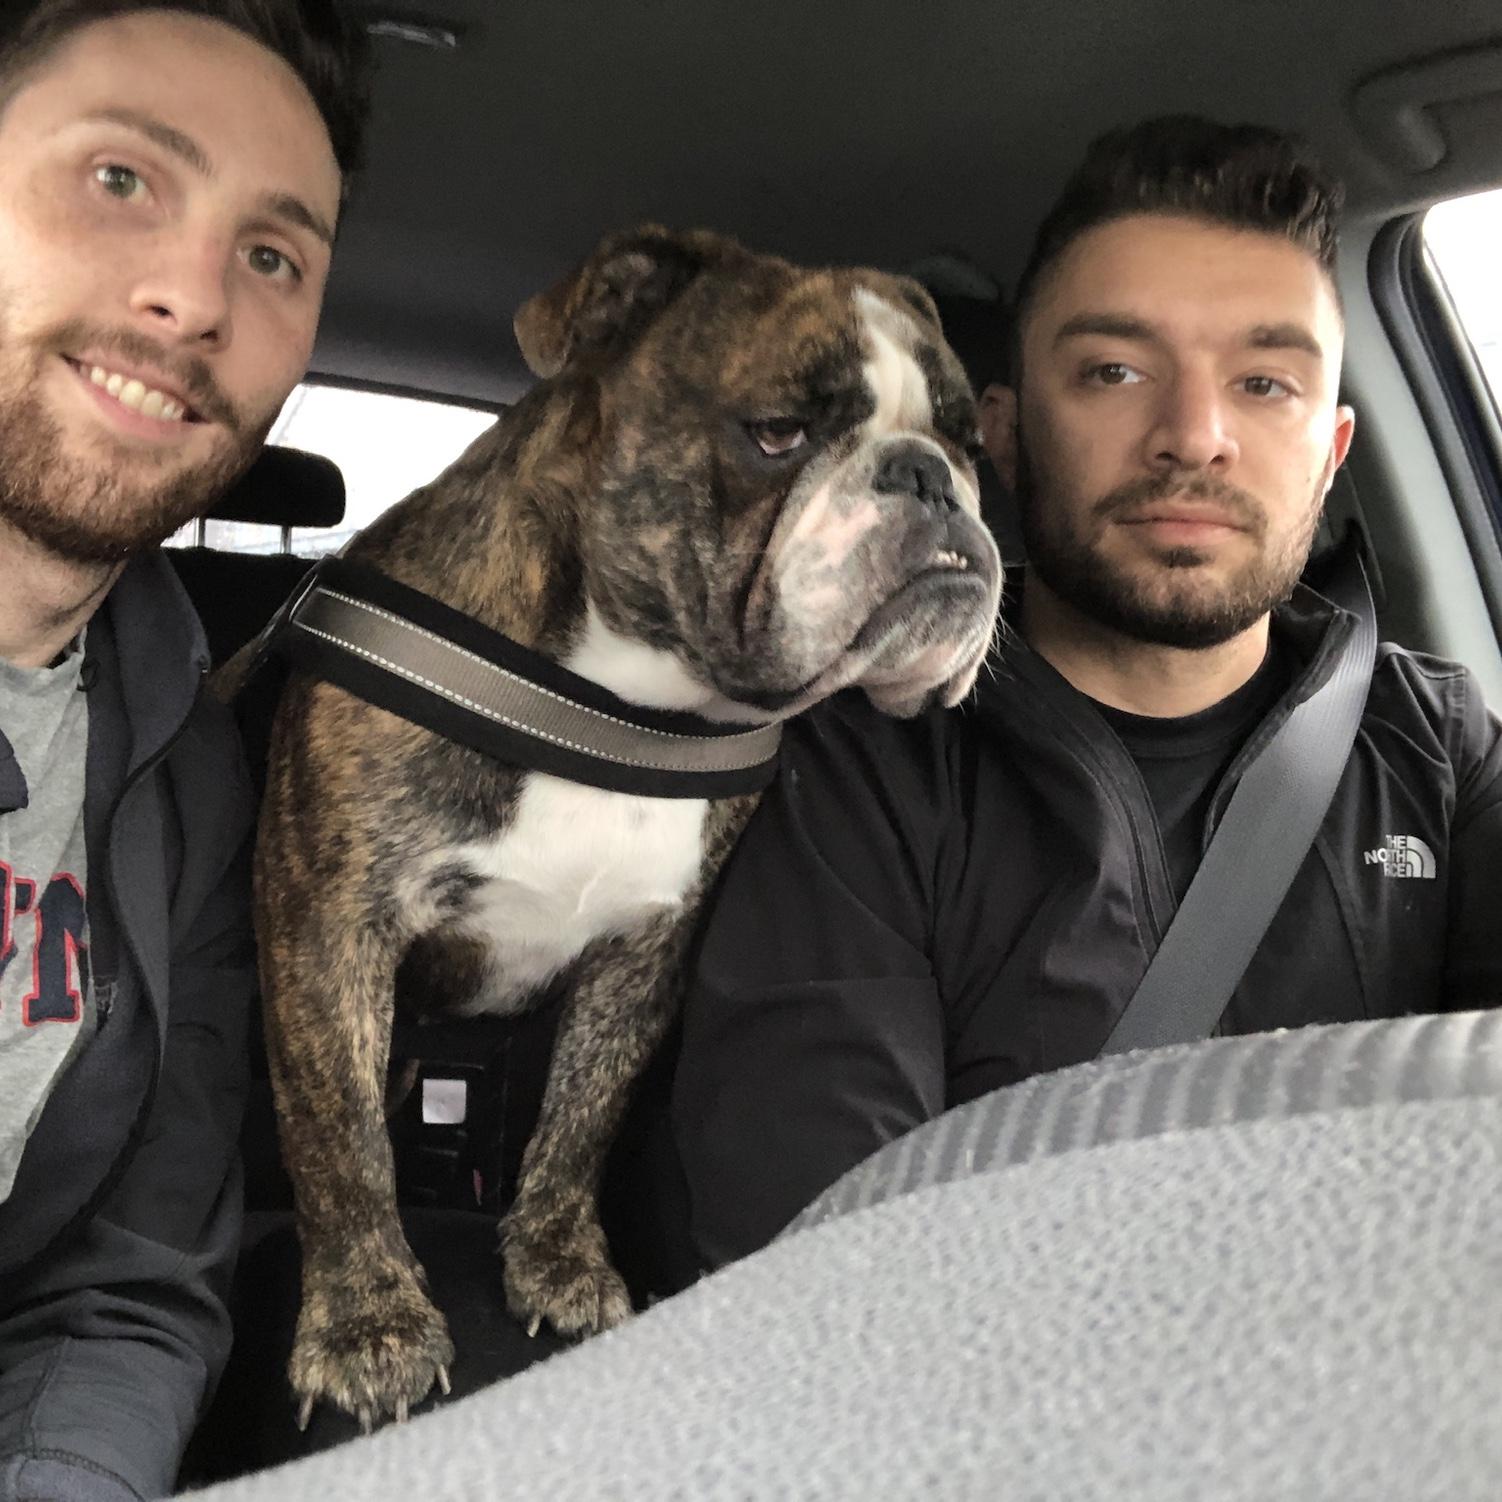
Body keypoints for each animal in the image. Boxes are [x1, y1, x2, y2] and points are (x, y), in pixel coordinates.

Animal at [255, 225, 1003, 1428]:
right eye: (778, 433)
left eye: (970, 444)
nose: (928, 477)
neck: (615, 699)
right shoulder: (329, 933)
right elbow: (341, 1139)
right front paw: (368, 1324)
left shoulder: (646, 949)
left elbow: (581, 1117)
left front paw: (560, 1265)